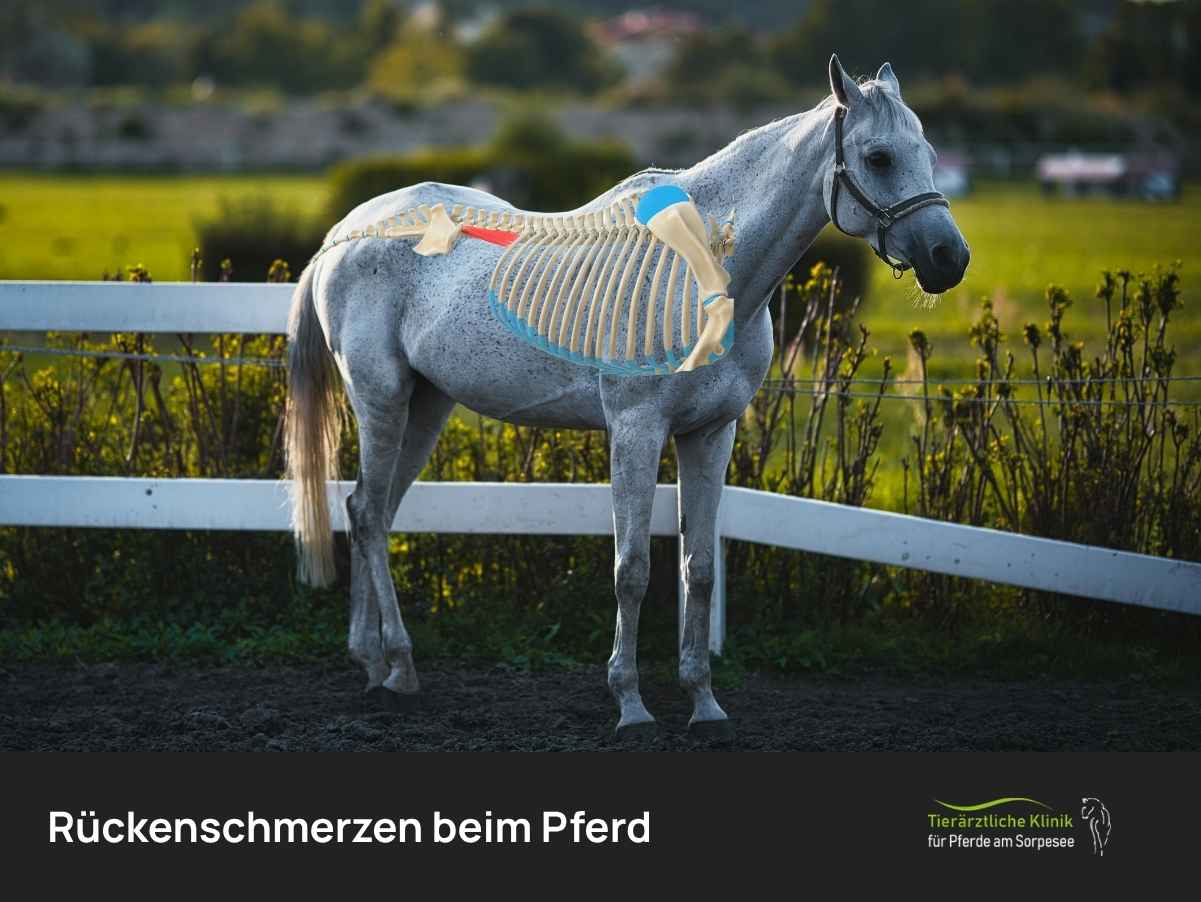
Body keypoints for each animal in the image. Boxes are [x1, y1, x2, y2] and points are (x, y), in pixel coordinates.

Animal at [283, 54, 970, 738]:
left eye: (929, 152)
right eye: (878, 157)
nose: (949, 258)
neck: (698, 274)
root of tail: (346, 232)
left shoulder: (710, 434)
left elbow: (700, 569)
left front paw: (703, 703)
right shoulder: (637, 432)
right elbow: (633, 570)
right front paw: (631, 704)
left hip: (426, 406)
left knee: (370, 510)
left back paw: (374, 664)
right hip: (382, 400)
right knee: (368, 516)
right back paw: (399, 666)